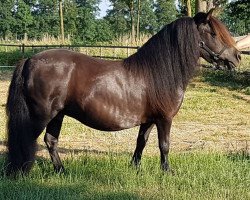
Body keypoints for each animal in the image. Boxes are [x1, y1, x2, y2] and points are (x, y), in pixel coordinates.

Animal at [5, 9, 240, 175]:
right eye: (213, 33)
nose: (237, 57)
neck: (156, 72)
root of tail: (30, 60)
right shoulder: (164, 119)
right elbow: (164, 145)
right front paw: (167, 172)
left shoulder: (149, 120)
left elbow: (141, 143)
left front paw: (135, 168)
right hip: (41, 115)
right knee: (27, 139)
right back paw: (21, 172)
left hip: (58, 115)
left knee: (51, 141)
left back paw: (62, 171)